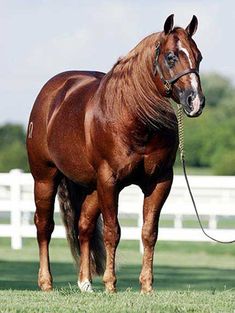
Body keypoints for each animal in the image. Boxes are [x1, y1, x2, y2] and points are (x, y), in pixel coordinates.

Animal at [26, 14, 205, 292]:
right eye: (171, 57)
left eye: (199, 56)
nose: (195, 101)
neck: (133, 118)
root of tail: (52, 93)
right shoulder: (110, 181)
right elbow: (113, 231)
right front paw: (110, 284)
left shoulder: (160, 181)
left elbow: (149, 232)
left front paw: (146, 286)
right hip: (45, 178)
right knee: (44, 226)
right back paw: (46, 282)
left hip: (91, 187)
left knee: (84, 226)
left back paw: (86, 283)